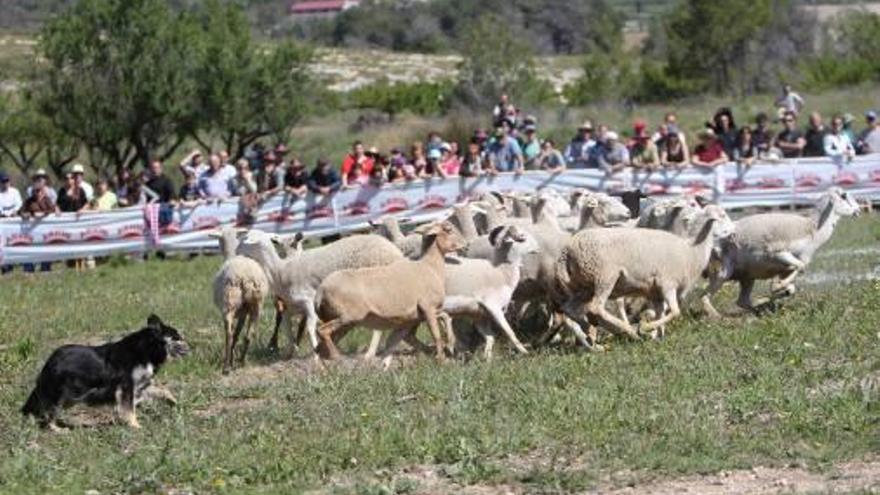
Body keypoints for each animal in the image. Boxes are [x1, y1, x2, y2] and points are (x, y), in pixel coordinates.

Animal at [21, 318, 189, 430]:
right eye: (178, 338)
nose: (190, 346)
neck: (147, 350)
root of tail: (49, 362)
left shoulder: (140, 386)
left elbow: (163, 390)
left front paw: (174, 401)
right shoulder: (126, 387)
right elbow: (129, 409)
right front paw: (135, 426)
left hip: (71, 397)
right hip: (64, 394)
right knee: (49, 413)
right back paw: (58, 429)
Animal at [210, 227, 268, 374]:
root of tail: (246, 278)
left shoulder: (239, 311)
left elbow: (234, 333)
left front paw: (230, 360)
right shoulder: (243, 312)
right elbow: (238, 333)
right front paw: (234, 359)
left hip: (229, 302)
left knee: (229, 334)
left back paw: (226, 366)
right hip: (257, 305)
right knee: (248, 335)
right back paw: (242, 361)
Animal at [440, 226, 536, 360]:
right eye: (522, 238)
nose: (538, 246)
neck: (501, 272)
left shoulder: (479, 315)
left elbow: (490, 337)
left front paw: (487, 359)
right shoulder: (493, 307)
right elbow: (510, 332)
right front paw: (525, 352)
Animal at [552, 207, 732, 342]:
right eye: (722, 215)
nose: (733, 231)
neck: (693, 251)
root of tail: (567, 251)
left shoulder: (655, 293)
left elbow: (660, 312)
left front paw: (658, 336)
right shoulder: (667, 283)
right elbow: (675, 312)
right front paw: (646, 328)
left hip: (584, 286)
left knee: (570, 308)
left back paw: (591, 330)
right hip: (604, 277)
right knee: (596, 307)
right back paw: (626, 330)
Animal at [700, 188, 860, 312]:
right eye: (844, 196)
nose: (858, 210)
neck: (813, 229)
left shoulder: (785, 268)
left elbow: (794, 281)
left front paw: (782, 289)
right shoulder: (778, 253)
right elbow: (800, 267)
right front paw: (778, 286)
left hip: (747, 276)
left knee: (742, 302)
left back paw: (760, 308)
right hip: (723, 272)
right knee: (704, 297)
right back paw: (717, 317)